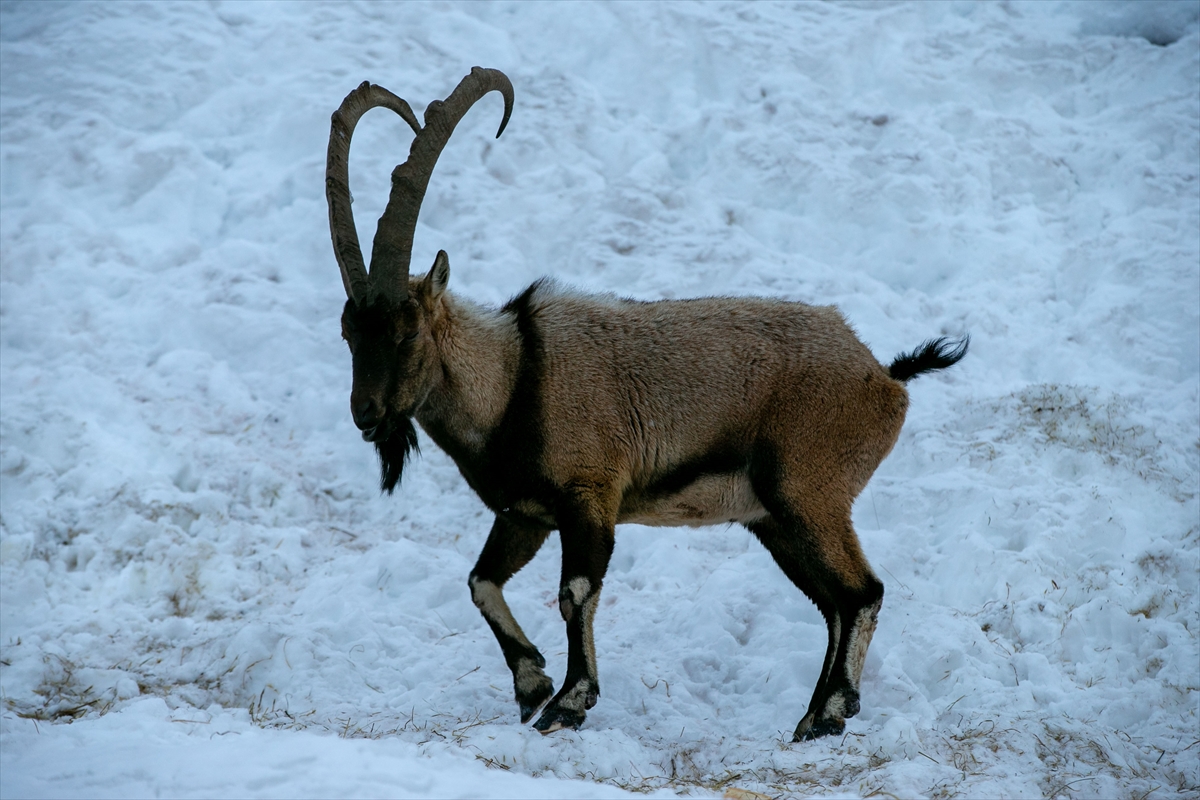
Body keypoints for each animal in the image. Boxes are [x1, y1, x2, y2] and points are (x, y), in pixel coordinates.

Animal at [325, 67, 968, 740]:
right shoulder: (526, 513)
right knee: (835, 602)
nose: (366, 415)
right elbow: (482, 583)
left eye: (408, 333)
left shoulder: (590, 496)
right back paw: (814, 718)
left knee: (862, 591)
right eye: (348, 332)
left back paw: (832, 710)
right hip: (774, 517)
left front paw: (569, 702)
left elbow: (575, 591)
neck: (512, 378)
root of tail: (884, 376)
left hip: (808, 492)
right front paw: (533, 684)